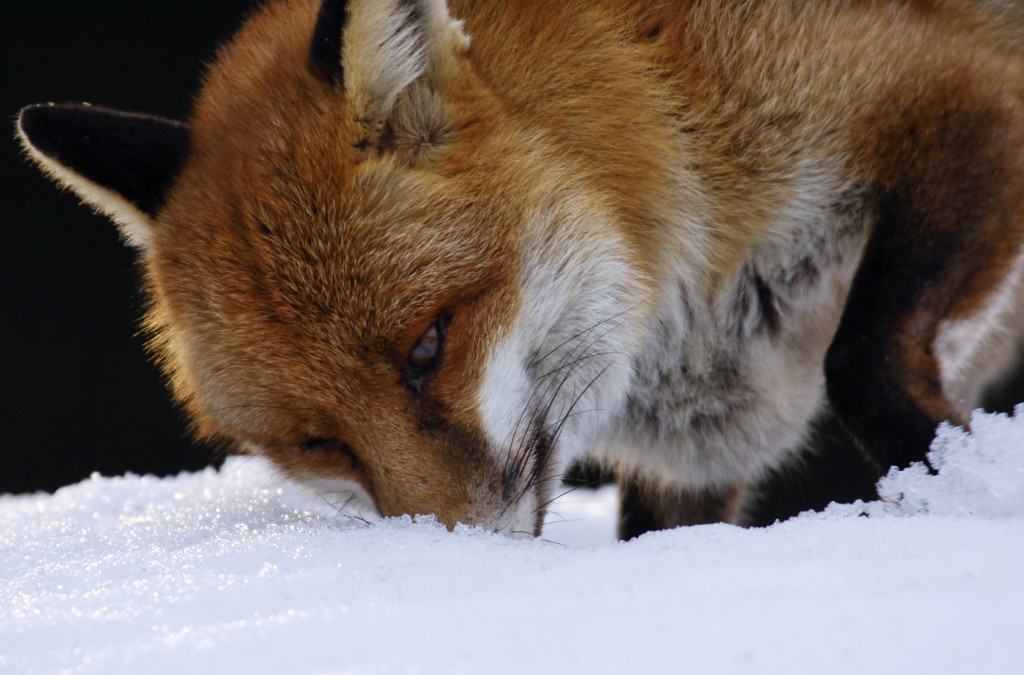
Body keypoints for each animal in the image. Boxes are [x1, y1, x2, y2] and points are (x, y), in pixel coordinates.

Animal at [16, 0, 1024, 538]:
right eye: (318, 442)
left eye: (428, 348)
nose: (462, 558)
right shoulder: (700, 455)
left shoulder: (964, 101)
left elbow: (859, 361)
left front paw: (960, 483)